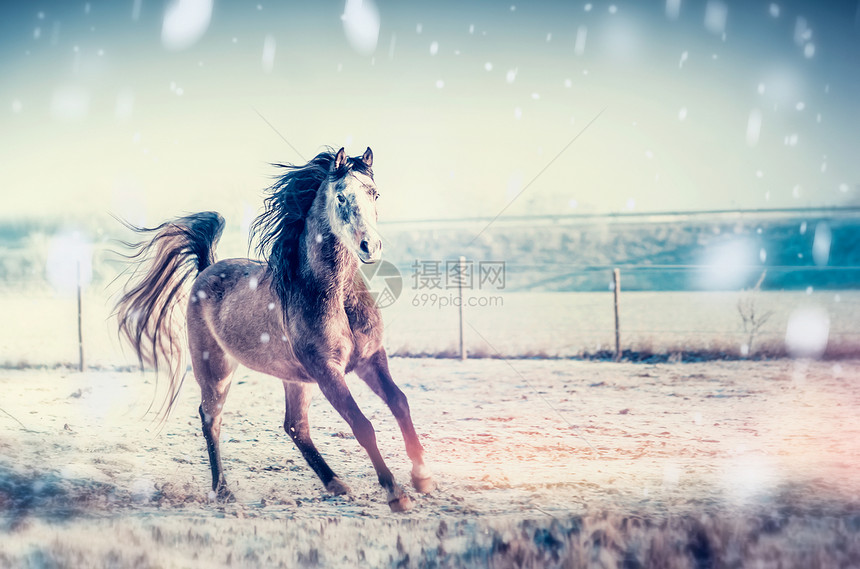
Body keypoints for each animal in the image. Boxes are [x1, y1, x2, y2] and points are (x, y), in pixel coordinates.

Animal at [114, 146, 434, 510]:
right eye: (340, 196)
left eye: (374, 193)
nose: (371, 246)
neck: (334, 295)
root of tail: (206, 269)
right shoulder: (327, 371)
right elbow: (362, 425)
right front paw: (395, 493)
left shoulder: (370, 358)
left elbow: (400, 402)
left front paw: (422, 476)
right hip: (216, 372)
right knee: (211, 419)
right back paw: (223, 490)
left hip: (295, 380)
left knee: (295, 427)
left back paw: (335, 483)